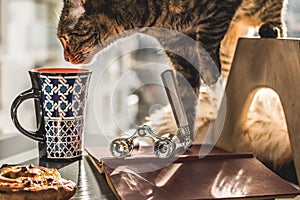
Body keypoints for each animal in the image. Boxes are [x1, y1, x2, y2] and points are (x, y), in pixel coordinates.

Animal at [57, 0, 290, 167]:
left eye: (65, 39)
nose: (65, 57)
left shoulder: (215, 17)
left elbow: (208, 62)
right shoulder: (180, 51)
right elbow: (186, 97)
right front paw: (183, 139)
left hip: (266, 9)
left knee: (277, 23)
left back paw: (270, 30)